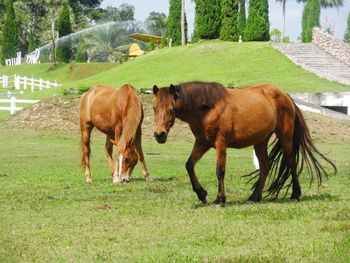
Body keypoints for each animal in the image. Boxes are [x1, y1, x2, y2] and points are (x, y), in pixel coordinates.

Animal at [152, 81, 336, 205]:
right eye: (154, 108)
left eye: (171, 109)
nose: (159, 135)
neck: (208, 108)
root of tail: (285, 95)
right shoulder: (202, 143)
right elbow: (189, 165)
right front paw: (202, 194)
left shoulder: (221, 143)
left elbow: (220, 171)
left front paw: (220, 199)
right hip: (260, 141)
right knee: (265, 166)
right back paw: (254, 197)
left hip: (285, 137)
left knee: (291, 162)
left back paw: (295, 195)